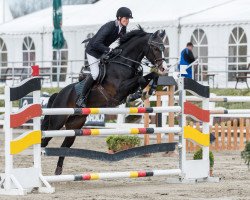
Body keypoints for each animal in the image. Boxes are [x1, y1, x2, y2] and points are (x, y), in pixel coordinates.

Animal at [42, 26, 168, 175]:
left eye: (163, 47)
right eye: (155, 48)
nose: (164, 68)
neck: (124, 63)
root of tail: (59, 94)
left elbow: (150, 75)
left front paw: (148, 91)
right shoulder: (119, 89)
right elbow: (141, 79)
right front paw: (139, 94)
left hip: (75, 125)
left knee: (64, 146)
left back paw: (58, 170)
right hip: (57, 121)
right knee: (44, 140)